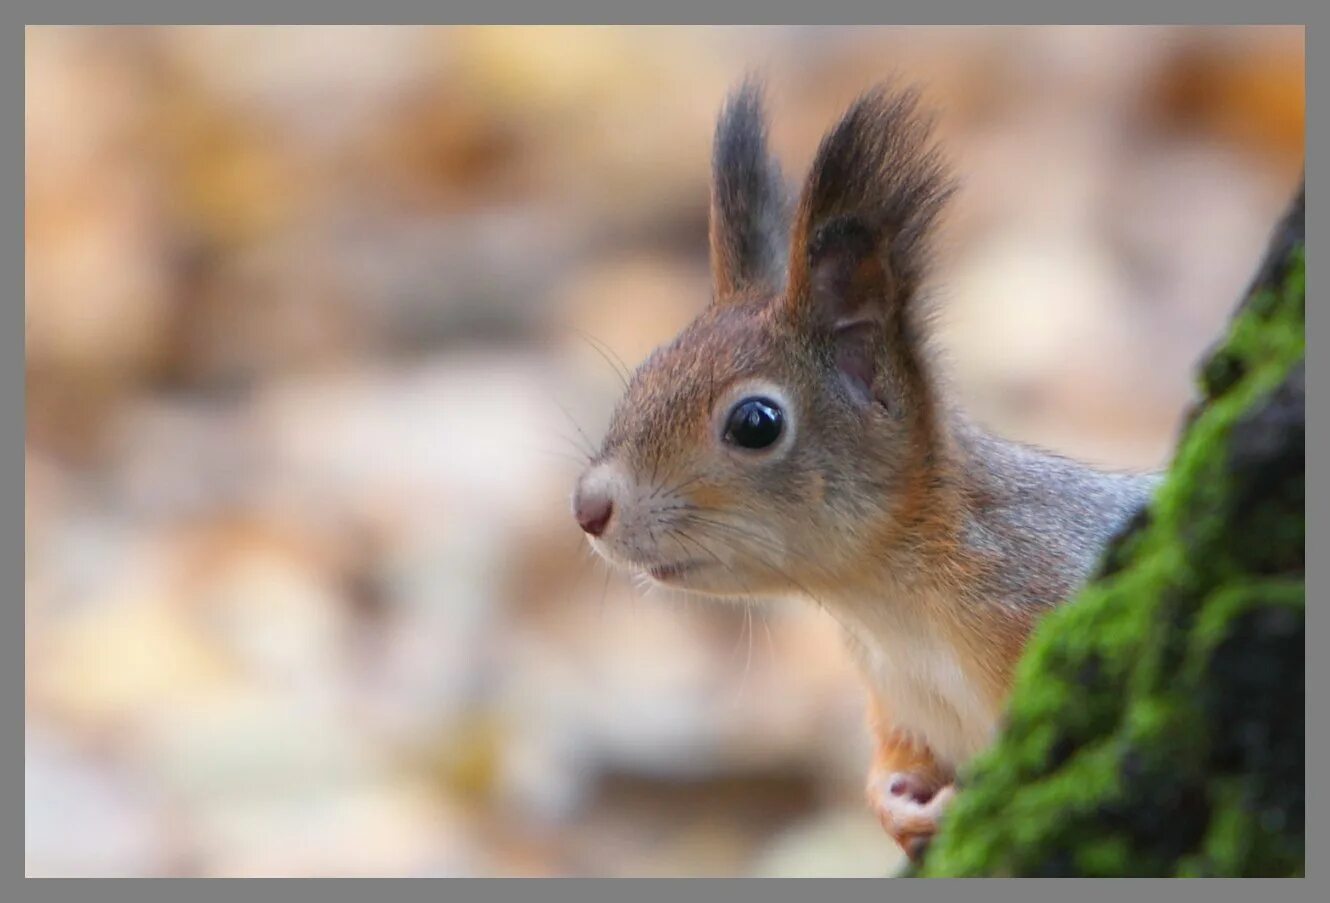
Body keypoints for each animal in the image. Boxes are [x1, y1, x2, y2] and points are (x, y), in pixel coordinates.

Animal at [566, 83, 1159, 861]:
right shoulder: (895, 699)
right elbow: (893, 760)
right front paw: (893, 803)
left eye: (756, 424)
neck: (889, 610)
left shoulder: (1040, 587)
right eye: (645, 371)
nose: (588, 508)